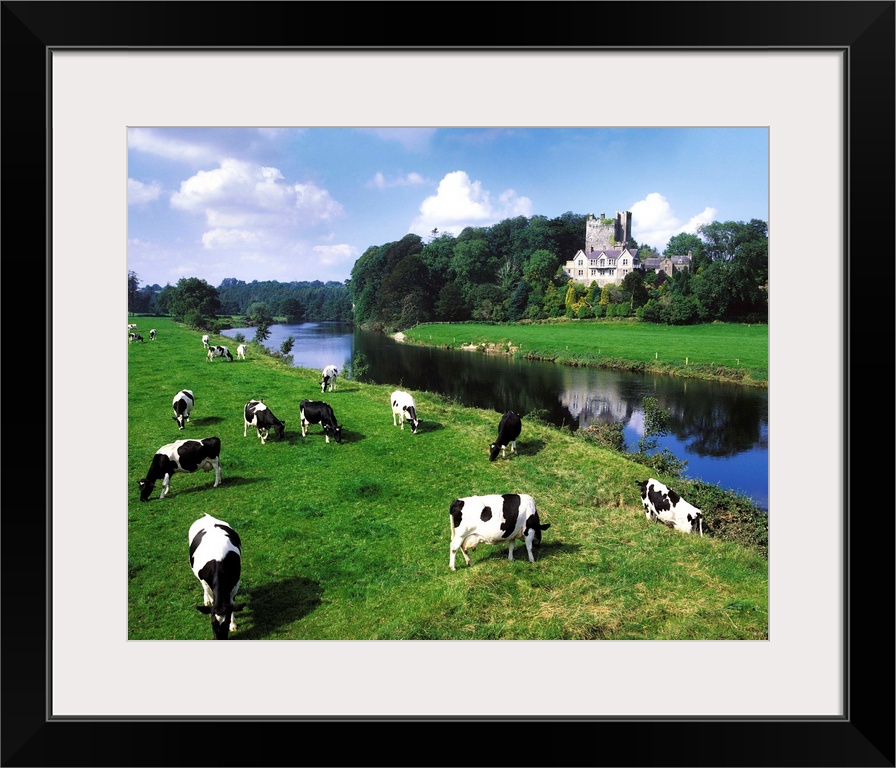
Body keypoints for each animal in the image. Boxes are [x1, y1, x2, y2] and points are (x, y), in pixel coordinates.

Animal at [188, 512, 245, 640]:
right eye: (212, 622)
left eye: (226, 622)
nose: (219, 639)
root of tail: (206, 516)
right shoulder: (206, 583)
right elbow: (211, 596)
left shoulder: (236, 583)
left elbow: (231, 603)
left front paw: (233, 625)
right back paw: (206, 600)